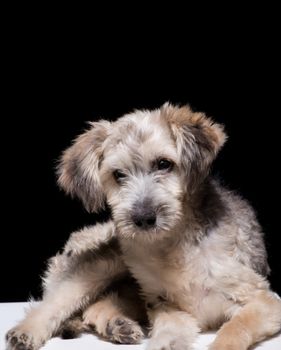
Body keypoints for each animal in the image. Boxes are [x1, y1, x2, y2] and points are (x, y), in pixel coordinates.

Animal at [6, 104, 280, 350]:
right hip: (101, 264)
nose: (144, 218)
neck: (173, 245)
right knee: (58, 301)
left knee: (96, 306)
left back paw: (117, 325)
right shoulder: (165, 306)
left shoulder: (264, 300)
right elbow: (167, 335)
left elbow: (236, 327)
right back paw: (26, 331)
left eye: (164, 164)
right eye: (118, 174)